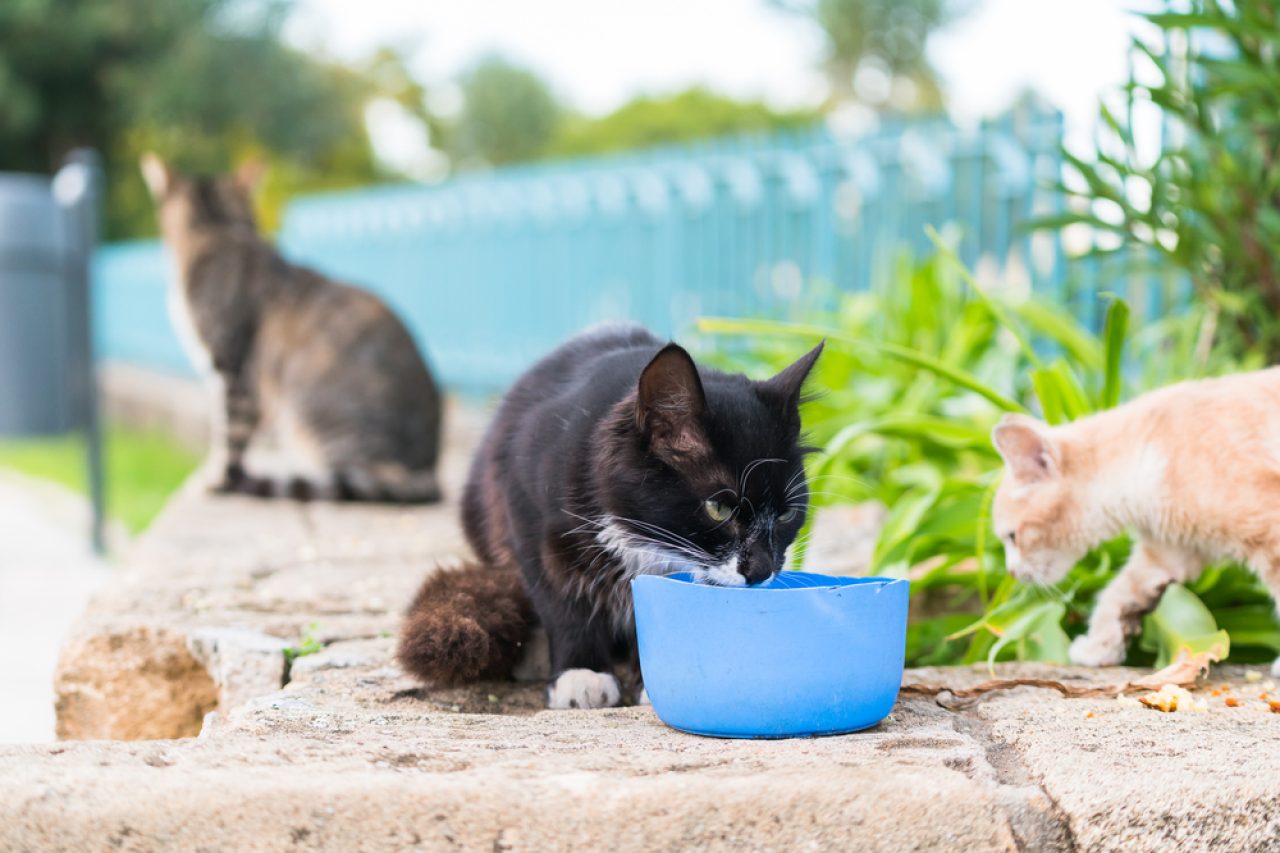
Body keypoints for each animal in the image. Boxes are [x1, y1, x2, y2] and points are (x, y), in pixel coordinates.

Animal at [142, 154, 442, 499]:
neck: (219, 229)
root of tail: (430, 468)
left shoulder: (231, 367)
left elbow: (229, 431)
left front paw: (219, 476)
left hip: (313, 413)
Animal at [394, 322, 824, 706]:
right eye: (717, 508)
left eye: (787, 514)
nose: (761, 570)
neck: (639, 535)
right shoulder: (527, 512)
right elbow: (560, 597)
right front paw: (580, 673)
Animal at [988, 368, 1280, 676]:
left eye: (1012, 536)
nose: (1011, 572)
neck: (1148, 452)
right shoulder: (1169, 552)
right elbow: (1116, 593)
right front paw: (1099, 647)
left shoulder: (1268, 522)